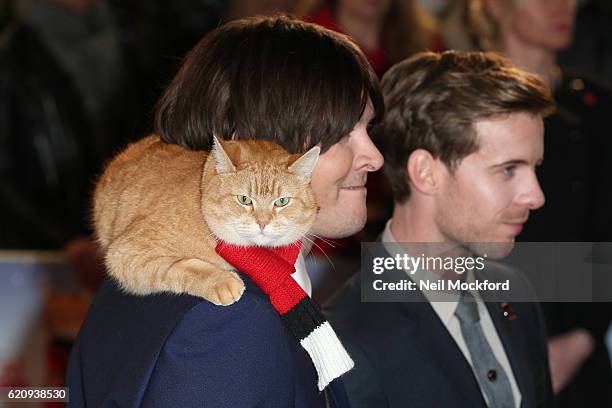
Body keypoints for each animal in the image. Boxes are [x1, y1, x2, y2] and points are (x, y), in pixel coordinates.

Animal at [93, 135, 320, 304]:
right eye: (244, 199)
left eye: (282, 201)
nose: (263, 223)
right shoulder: (126, 253)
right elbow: (181, 267)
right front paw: (221, 281)